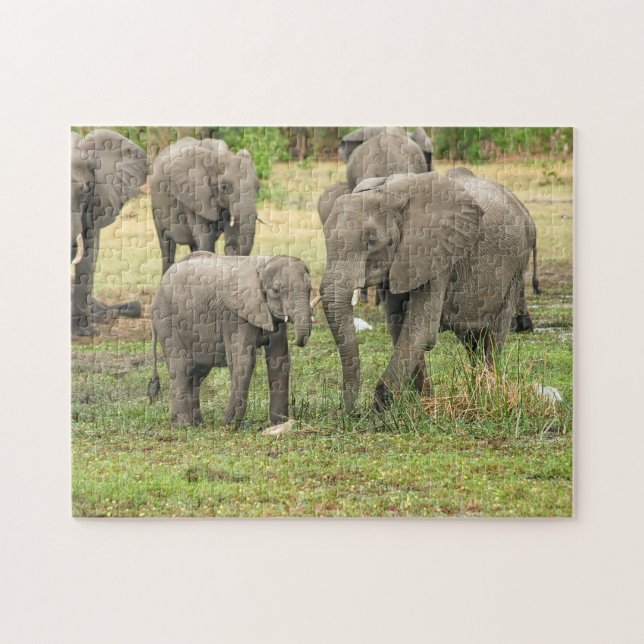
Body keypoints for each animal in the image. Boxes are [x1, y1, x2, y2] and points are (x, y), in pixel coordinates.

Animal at [148, 252, 312, 427]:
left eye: (310, 290)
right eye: (275, 290)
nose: (299, 341)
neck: (264, 263)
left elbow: (278, 360)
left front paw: (279, 423)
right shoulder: (234, 315)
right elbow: (244, 361)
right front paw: (230, 424)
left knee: (197, 372)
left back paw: (196, 424)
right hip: (166, 319)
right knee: (181, 366)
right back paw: (183, 425)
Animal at [151, 137, 260, 275]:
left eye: (258, 188)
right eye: (224, 187)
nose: (231, 249)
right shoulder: (194, 198)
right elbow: (206, 240)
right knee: (167, 245)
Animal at [319, 171, 538, 414]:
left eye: (371, 241)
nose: (351, 413)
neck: (388, 194)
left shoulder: (436, 254)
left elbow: (420, 329)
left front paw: (380, 410)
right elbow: (399, 326)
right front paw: (424, 401)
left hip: (517, 265)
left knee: (493, 335)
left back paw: (486, 393)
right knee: (473, 339)